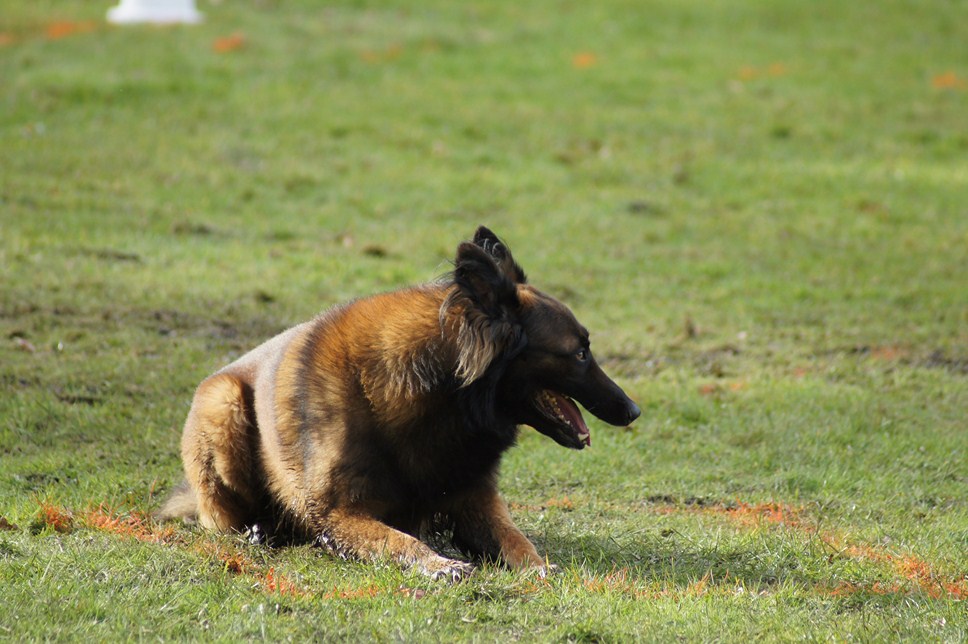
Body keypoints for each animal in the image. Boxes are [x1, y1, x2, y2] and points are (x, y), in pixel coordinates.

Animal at [157, 226, 644, 580]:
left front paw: (539, 566)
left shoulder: (474, 498)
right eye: (579, 354)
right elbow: (400, 541)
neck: (440, 394)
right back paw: (260, 530)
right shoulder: (338, 513)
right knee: (223, 517)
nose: (633, 410)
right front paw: (440, 564)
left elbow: (515, 539)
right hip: (224, 404)